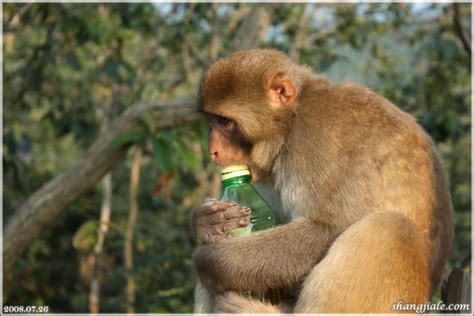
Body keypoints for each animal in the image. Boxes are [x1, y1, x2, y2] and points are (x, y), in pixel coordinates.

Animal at [191, 49, 454, 314]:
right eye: (211, 121)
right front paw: (206, 222)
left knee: (390, 228)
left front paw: (211, 260)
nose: (213, 151)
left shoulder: (316, 139)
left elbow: (331, 226)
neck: (290, 124)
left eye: (225, 122)